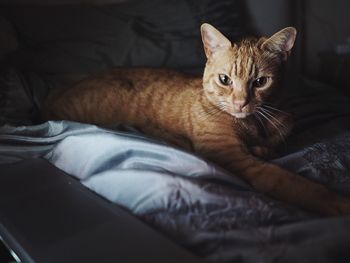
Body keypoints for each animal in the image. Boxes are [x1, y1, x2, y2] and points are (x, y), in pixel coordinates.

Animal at [43, 23, 350, 217]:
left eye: (260, 82)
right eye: (225, 80)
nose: (241, 102)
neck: (255, 124)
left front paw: (266, 147)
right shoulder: (232, 156)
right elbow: (285, 179)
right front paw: (332, 200)